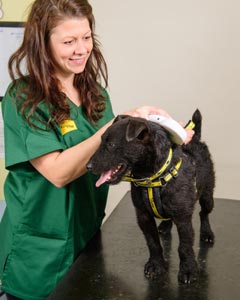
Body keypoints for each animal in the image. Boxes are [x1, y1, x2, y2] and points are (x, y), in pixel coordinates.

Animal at [87, 109, 215, 284]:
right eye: (100, 142)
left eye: (111, 145)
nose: (88, 166)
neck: (151, 176)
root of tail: (195, 139)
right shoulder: (143, 216)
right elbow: (153, 242)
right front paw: (156, 265)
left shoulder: (183, 218)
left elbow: (185, 246)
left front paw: (188, 270)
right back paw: (165, 226)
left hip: (208, 195)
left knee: (204, 213)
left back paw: (207, 233)